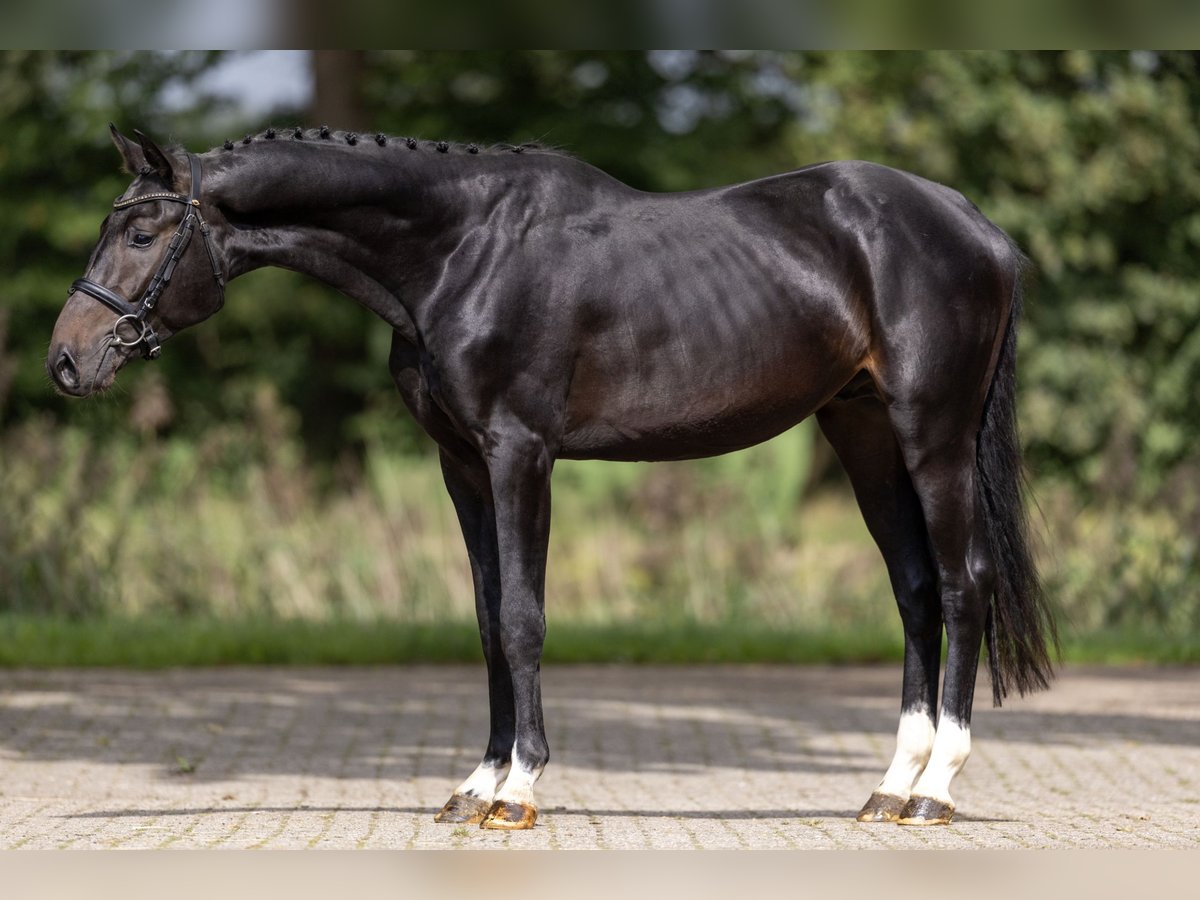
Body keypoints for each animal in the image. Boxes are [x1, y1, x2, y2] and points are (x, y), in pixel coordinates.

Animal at [49, 125, 1060, 830]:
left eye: (143, 231)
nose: (68, 360)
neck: (461, 251)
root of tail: (980, 229)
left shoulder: (519, 453)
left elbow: (524, 620)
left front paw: (522, 789)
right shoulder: (461, 464)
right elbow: (487, 619)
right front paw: (475, 784)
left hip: (932, 434)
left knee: (963, 587)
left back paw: (935, 792)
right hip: (863, 433)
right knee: (916, 590)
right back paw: (889, 787)